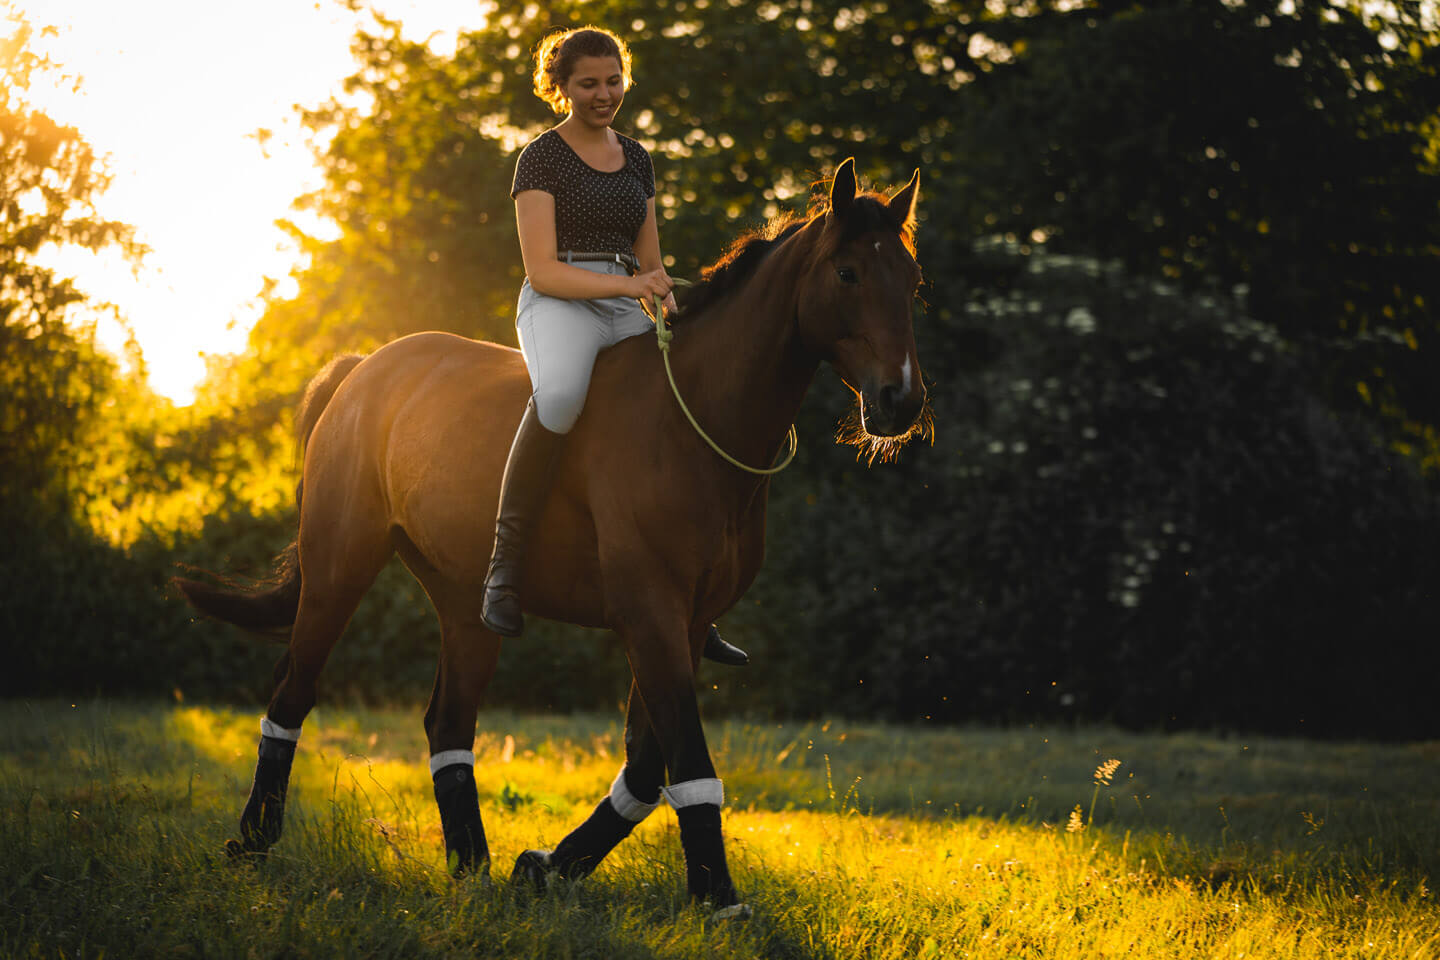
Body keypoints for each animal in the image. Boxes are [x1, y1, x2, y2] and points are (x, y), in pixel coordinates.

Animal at [176, 158, 928, 917]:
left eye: (914, 281)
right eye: (847, 274)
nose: (900, 402)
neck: (692, 422)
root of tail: (362, 369)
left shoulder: (687, 622)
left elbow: (647, 764)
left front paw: (548, 866)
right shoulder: (650, 612)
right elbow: (686, 758)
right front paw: (719, 898)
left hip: (465, 605)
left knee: (448, 724)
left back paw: (471, 867)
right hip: (339, 568)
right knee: (291, 693)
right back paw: (254, 839)